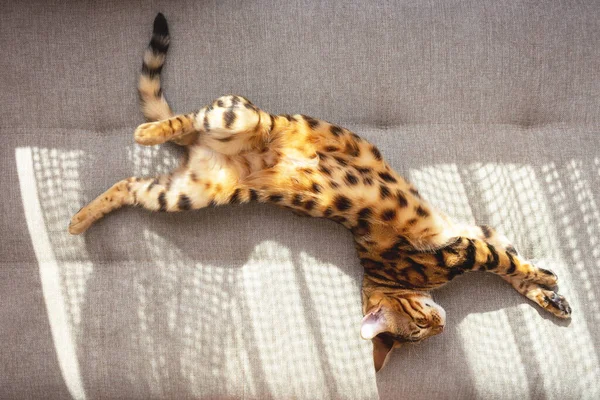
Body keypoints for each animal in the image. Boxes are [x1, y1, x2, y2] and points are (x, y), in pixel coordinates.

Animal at [68, 14, 568, 374]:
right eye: (420, 328)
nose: (442, 327)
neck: (394, 278)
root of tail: (202, 146)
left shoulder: (480, 231)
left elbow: (512, 263)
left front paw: (547, 292)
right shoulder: (460, 248)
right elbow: (503, 262)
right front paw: (545, 278)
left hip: (189, 189)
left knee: (135, 177)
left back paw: (80, 216)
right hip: (229, 126)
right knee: (184, 120)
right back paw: (145, 135)